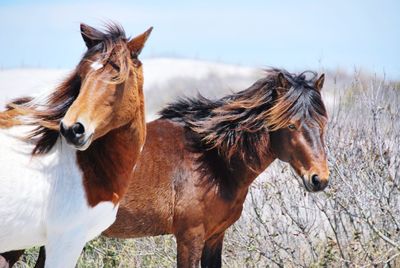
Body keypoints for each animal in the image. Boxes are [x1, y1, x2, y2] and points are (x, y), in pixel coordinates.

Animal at [3, 68, 328, 266]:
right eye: (291, 125)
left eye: (323, 122)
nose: (319, 179)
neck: (210, 160)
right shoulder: (189, 237)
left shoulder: (214, 238)